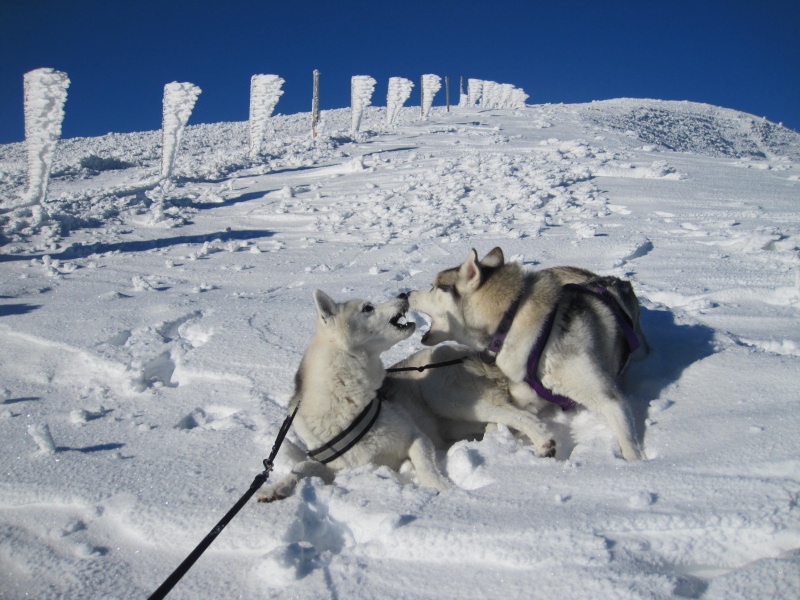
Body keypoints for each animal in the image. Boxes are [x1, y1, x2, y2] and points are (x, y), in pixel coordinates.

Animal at [410, 246, 648, 462]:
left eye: (433, 287)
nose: (406, 294)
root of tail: (607, 280)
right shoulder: (525, 401)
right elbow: (503, 423)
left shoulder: (609, 398)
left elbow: (628, 442)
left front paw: (636, 468)